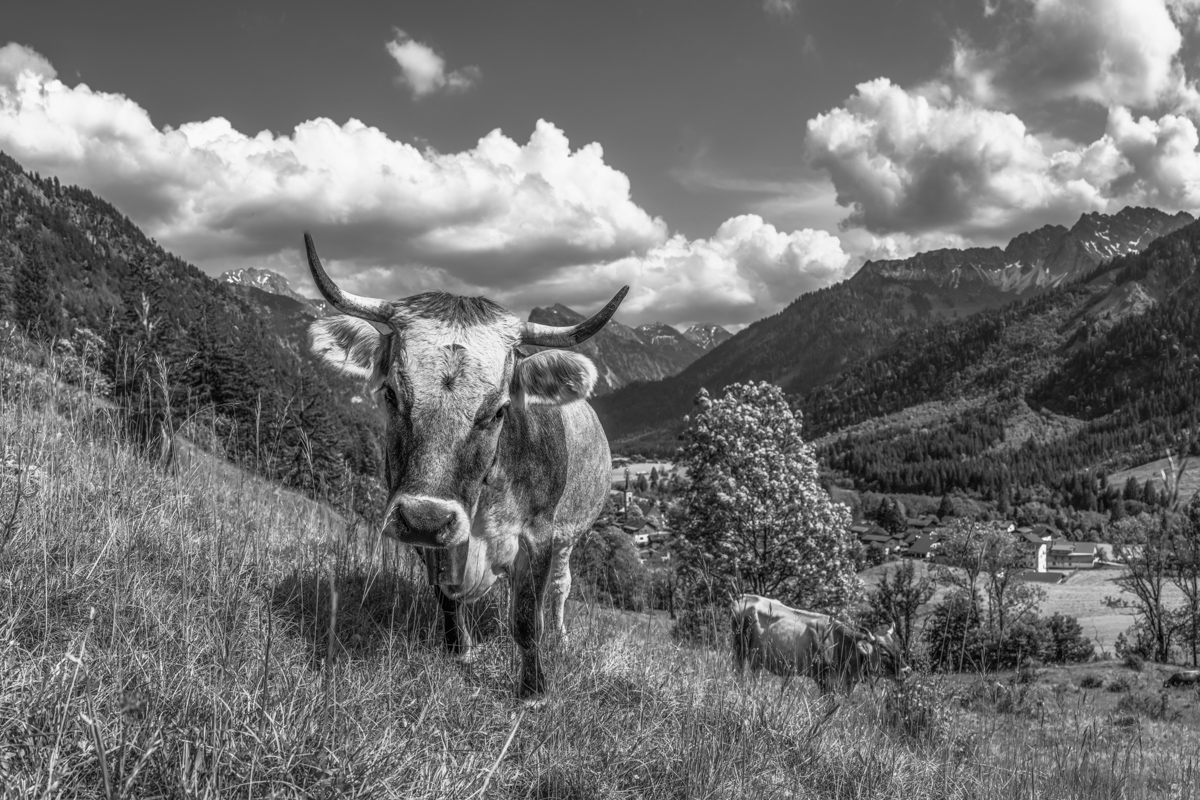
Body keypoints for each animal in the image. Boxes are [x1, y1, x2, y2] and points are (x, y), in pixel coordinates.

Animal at [302, 233, 627, 698]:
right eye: (391, 394)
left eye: (499, 410)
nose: (424, 516)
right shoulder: (430, 535)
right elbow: (446, 597)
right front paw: (461, 651)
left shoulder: (539, 534)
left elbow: (527, 617)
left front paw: (533, 689)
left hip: (571, 534)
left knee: (560, 589)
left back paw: (562, 638)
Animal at [731, 594, 909, 695]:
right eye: (884, 653)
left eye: (898, 649)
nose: (907, 670)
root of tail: (745, 596)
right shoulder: (824, 680)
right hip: (739, 648)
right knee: (738, 671)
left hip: (756, 658)